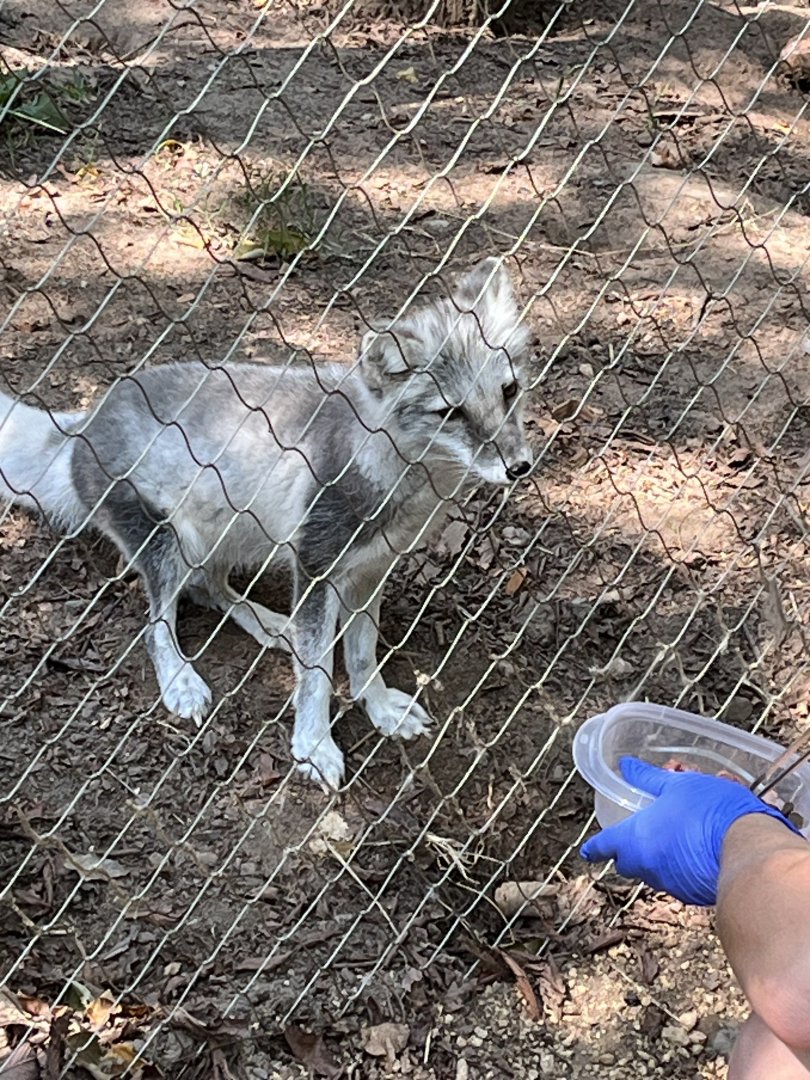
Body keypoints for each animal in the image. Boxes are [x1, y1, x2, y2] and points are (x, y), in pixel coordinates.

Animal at [0, 258, 532, 788]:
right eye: (451, 413)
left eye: (509, 390)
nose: (520, 467)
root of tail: (86, 420)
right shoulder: (316, 570)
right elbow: (316, 674)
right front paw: (314, 746)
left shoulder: (371, 571)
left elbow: (362, 653)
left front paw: (379, 708)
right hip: (171, 545)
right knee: (157, 624)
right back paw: (181, 680)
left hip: (232, 535)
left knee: (209, 588)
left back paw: (270, 624)